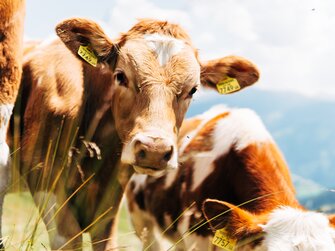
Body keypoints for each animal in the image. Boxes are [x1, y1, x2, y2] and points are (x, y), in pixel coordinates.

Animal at [13, 18, 260, 251]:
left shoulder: (111, 199)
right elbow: (68, 241)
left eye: (193, 89)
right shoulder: (43, 173)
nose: (154, 150)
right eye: (120, 76)